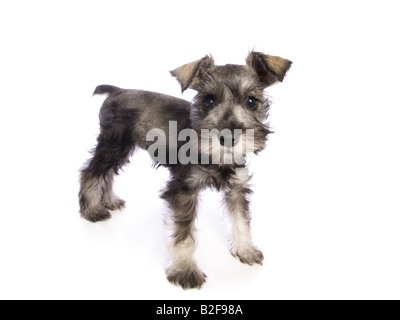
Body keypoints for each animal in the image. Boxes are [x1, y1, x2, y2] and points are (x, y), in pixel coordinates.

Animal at [78, 51, 290, 288]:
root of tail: (118, 90)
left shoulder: (237, 188)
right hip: (113, 145)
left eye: (251, 101)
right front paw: (185, 270)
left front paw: (246, 250)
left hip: (121, 148)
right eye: (208, 100)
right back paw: (92, 210)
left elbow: (241, 220)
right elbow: (183, 234)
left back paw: (109, 201)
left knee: (107, 175)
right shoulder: (183, 190)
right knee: (92, 173)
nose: (228, 137)